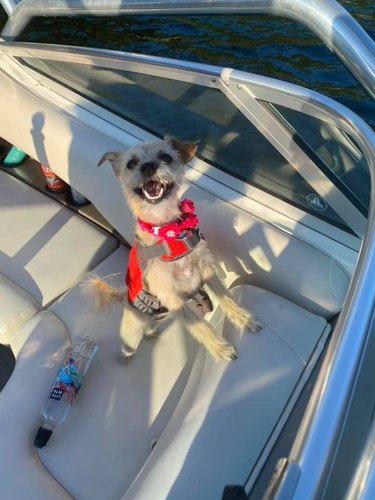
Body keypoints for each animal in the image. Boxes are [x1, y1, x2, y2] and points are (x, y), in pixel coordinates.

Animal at [83, 137, 262, 364]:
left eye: (166, 157)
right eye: (131, 163)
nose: (148, 166)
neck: (167, 231)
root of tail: (125, 297)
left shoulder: (207, 270)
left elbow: (225, 296)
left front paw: (244, 319)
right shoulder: (170, 295)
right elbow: (197, 324)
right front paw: (220, 348)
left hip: (161, 315)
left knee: (151, 327)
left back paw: (152, 333)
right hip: (132, 330)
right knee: (129, 345)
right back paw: (125, 358)